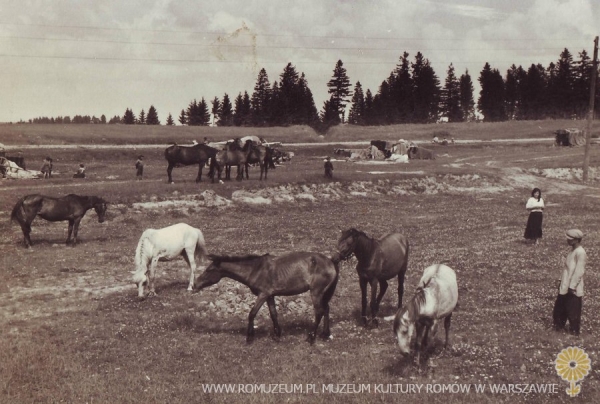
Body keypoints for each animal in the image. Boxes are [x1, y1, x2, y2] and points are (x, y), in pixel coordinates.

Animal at [195, 252, 340, 344]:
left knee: (319, 312)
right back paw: (325, 334)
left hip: (316, 292)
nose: (195, 284)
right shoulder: (270, 296)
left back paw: (311, 337)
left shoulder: (263, 294)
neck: (256, 269)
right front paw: (277, 335)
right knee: (326, 309)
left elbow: (252, 313)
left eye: (209, 270)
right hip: (323, 294)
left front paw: (250, 337)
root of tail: (330, 262)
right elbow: (273, 314)